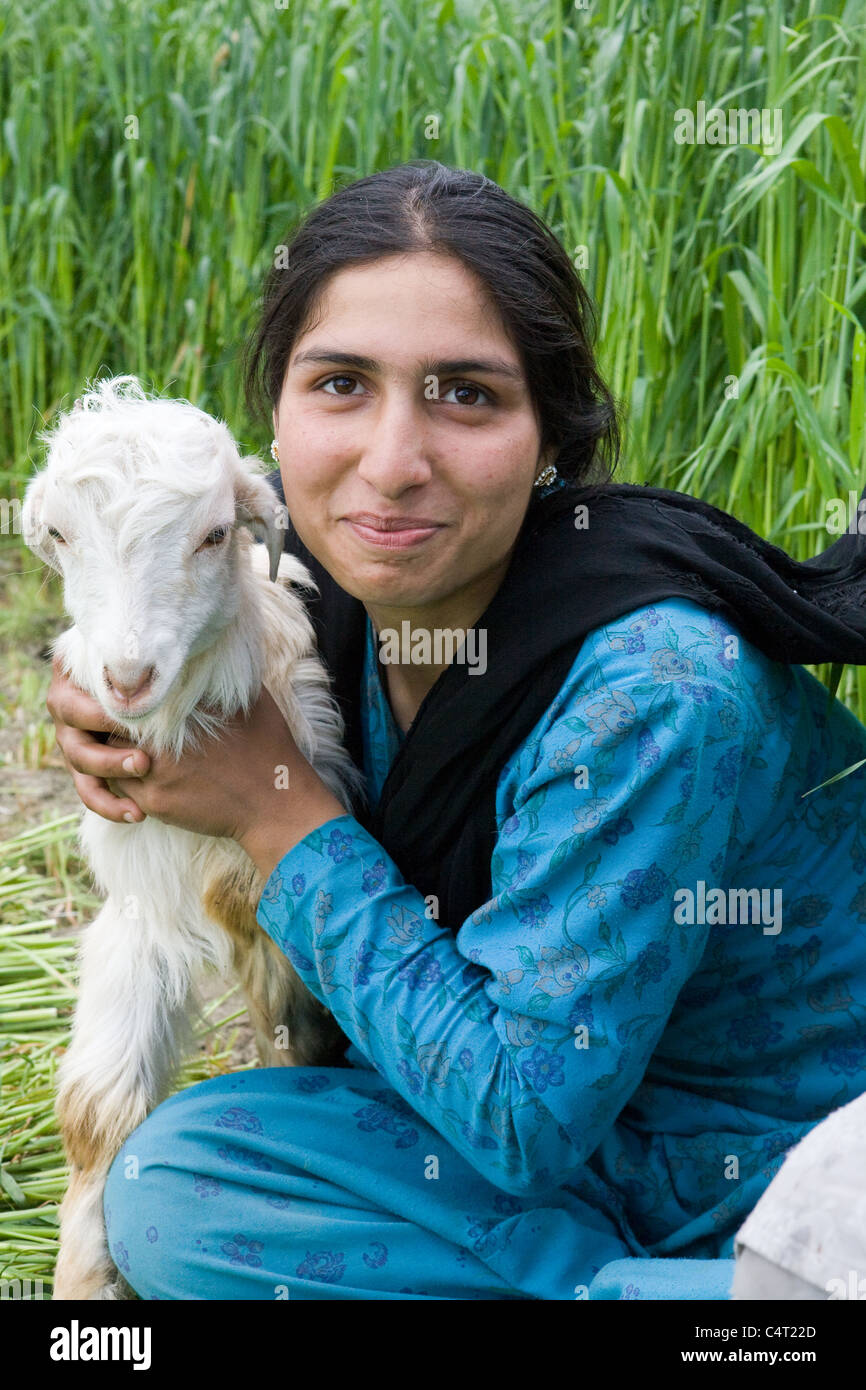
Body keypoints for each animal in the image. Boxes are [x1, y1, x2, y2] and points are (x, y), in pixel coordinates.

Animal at [22, 375, 361, 1295]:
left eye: (214, 536)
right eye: (61, 534)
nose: (127, 676)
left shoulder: (274, 925)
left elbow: (294, 1058)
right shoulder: (138, 910)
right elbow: (97, 1111)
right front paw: (81, 1281)